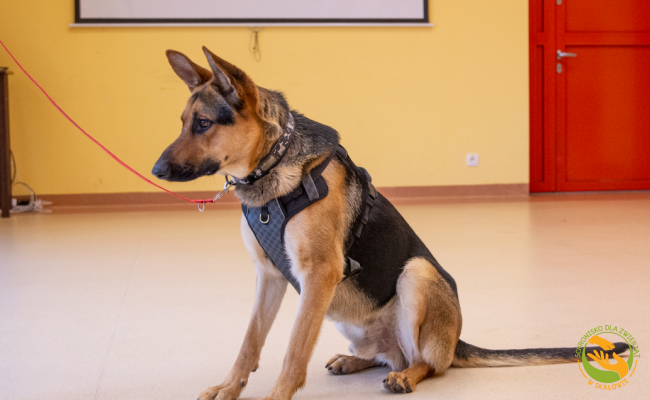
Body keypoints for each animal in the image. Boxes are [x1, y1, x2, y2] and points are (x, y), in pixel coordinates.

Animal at [152, 47, 628, 400]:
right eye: (183, 123)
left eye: (203, 124)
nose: (155, 170)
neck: (272, 168)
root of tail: (455, 341)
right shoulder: (270, 277)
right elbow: (249, 340)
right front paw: (230, 387)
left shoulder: (319, 275)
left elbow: (293, 350)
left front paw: (275, 395)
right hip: (343, 313)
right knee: (386, 354)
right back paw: (355, 359)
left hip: (416, 275)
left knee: (427, 362)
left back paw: (407, 375)